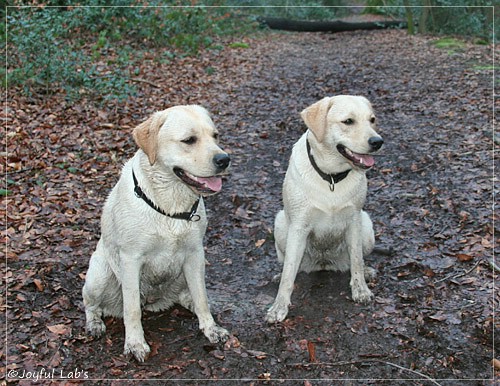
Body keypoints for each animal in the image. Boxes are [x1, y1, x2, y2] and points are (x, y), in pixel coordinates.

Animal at [82, 104, 230, 360]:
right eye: (189, 140)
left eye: (215, 136)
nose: (224, 159)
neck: (171, 203)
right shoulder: (131, 259)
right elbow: (131, 308)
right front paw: (135, 344)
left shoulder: (195, 253)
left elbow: (202, 297)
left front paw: (211, 328)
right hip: (99, 274)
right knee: (91, 304)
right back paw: (94, 324)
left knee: (189, 294)